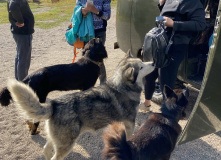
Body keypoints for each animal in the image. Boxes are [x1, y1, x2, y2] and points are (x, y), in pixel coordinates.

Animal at [7, 51, 155, 160]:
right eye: (141, 67)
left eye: (142, 61)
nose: (153, 62)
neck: (123, 86)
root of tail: (54, 104)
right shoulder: (130, 123)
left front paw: (146, 107)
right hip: (66, 145)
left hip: (56, 140)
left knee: (46, 151)